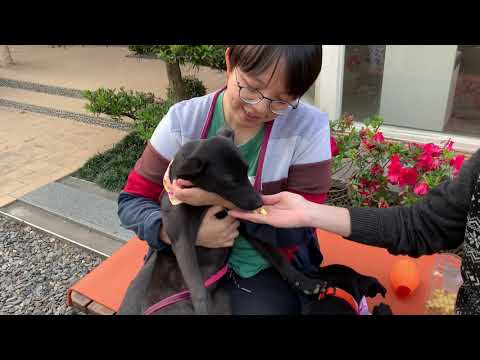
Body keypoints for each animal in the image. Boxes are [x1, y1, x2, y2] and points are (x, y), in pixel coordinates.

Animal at [118, 128, 326, 314]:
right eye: (230, 181)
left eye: (246, 170)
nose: (259, 202)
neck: (207, 201)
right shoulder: (181, 238)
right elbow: (196, 283)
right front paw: (203, 308)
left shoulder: (242, 223)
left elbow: (276, 255)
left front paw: (305, 282)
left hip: (224, 299)